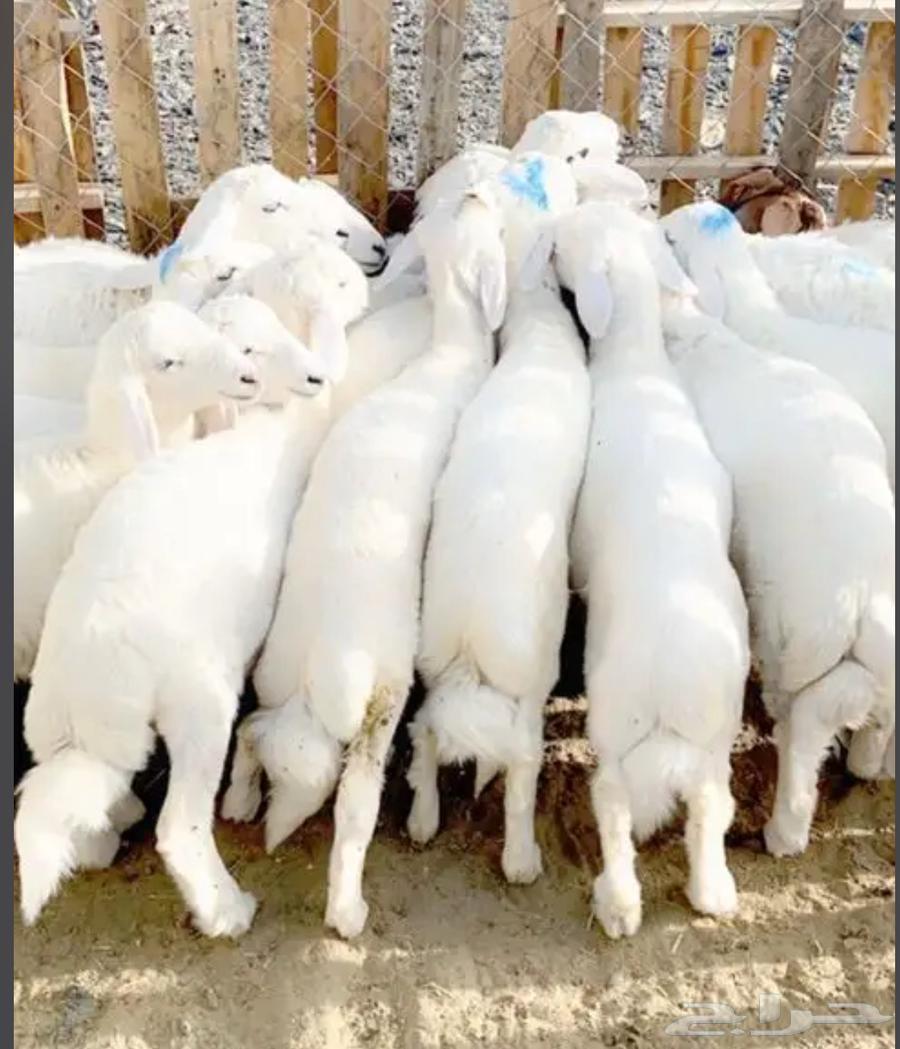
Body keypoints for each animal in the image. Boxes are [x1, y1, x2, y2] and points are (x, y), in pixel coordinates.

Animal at [223, 186, 508, 939]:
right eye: (479, 225)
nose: (475, 193)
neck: (449, 355)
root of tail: (324, 666)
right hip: (381, 696)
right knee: (355, 809)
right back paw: (347, 911)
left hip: (276, 675)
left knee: (255, 730)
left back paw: (240, 798)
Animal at [404, 154, 590, 884]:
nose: (474, 195)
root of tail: (469, 639)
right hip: (531, 675)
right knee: (520, 765)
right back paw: (521, 860)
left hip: (430, 663)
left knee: (424, 733)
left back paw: (422, 821)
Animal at [552, 202, 750, 937]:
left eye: (566, 244)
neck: (636, 363)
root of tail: (671, 681)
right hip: (716, 737)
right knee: (708, 811)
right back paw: (714, 891)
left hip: (612, 730)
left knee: (612, 806)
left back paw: (618, 904)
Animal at [660, 286, 895, 855]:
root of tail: (861, 599)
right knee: (871, 713)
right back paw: (869, 765)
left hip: (789, 633)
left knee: (804, 729)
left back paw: (784, 831)